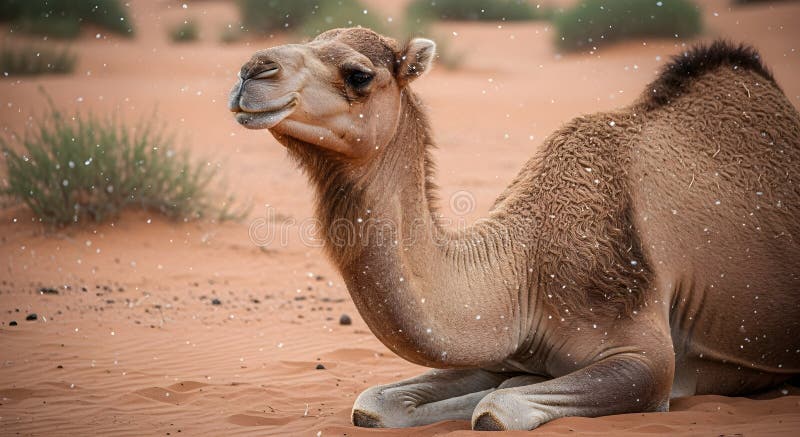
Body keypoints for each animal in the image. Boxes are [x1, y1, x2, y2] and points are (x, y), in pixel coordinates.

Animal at [229, 28, 800, 431]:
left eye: (358, 74)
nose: (252, 70)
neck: (524, 271)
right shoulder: (500, 345)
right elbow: (375, 403)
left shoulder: (644, 356)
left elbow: (495, 409)